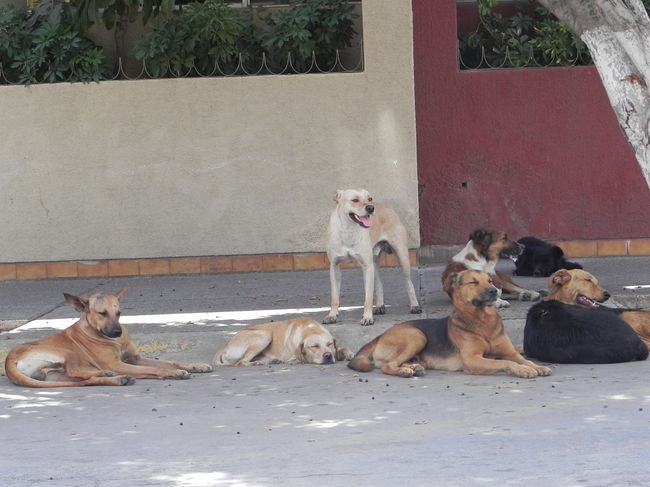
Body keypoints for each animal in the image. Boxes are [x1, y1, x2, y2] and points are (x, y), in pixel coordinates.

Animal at [5, 286, 213, 388]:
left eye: (119, 313)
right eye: (102, 313)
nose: (117, 333)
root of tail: (8, 361)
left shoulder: (134, 358)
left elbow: (170, 361)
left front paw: (196, 365)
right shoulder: (117, 363)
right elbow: (155, 368)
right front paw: (173, 373)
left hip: (55, 376)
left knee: (85, 380)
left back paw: (114, 379)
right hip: (66, 354)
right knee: (75, 371)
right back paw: (109, 375)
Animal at [211, 318, 352, 368]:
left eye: (329, 344)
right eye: (314, 346)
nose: (328, 355)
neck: (311, 329)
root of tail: (226, 344)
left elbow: (342, 348)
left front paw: (347, 353)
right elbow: (298, 358)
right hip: (265, 334)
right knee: (241, 362)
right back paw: (256, 363)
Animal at [322, 189, 420, 326]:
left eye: (370, 198)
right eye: (355, 200)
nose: (371, 208)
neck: (349, 229)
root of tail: (387, 207)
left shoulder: (367, 267)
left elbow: (368, 298)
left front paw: (367, 317)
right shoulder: (334, 267)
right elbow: (335, 297)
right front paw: (332, 315)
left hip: (402, 257)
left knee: (408, 282)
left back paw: (414, 305)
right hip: (374, 264)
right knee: (379, 283)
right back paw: (379, 306)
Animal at [346, 268, 548, 380]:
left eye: (490, 280)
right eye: (473, 282)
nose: (494, 291)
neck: (483, 321)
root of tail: (381, 335)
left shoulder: (510, 352)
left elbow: (524, 359)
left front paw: (536, 366)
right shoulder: (472, 360)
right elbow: (506, 362)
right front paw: (522, 370)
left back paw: (413, 367)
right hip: (416, 336)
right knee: (387, 366)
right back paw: (404, 371)